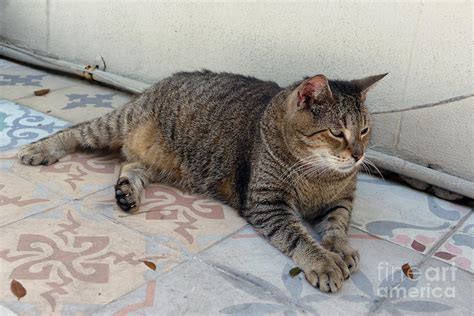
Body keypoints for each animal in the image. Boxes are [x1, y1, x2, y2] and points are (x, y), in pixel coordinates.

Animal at [19, 70, 388, 292]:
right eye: (337, 133)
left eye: (365, 130)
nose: (359, 156)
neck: (319, 175)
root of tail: (158, 83)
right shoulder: (267, 203)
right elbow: (298, 236)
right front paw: (323, 261)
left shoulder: (341, 199)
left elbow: (337, 224)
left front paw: (339, 247)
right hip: (112, 126)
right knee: (75, 132)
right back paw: (38, 149)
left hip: (162, 164)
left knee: (130, 165)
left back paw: (127, 192)